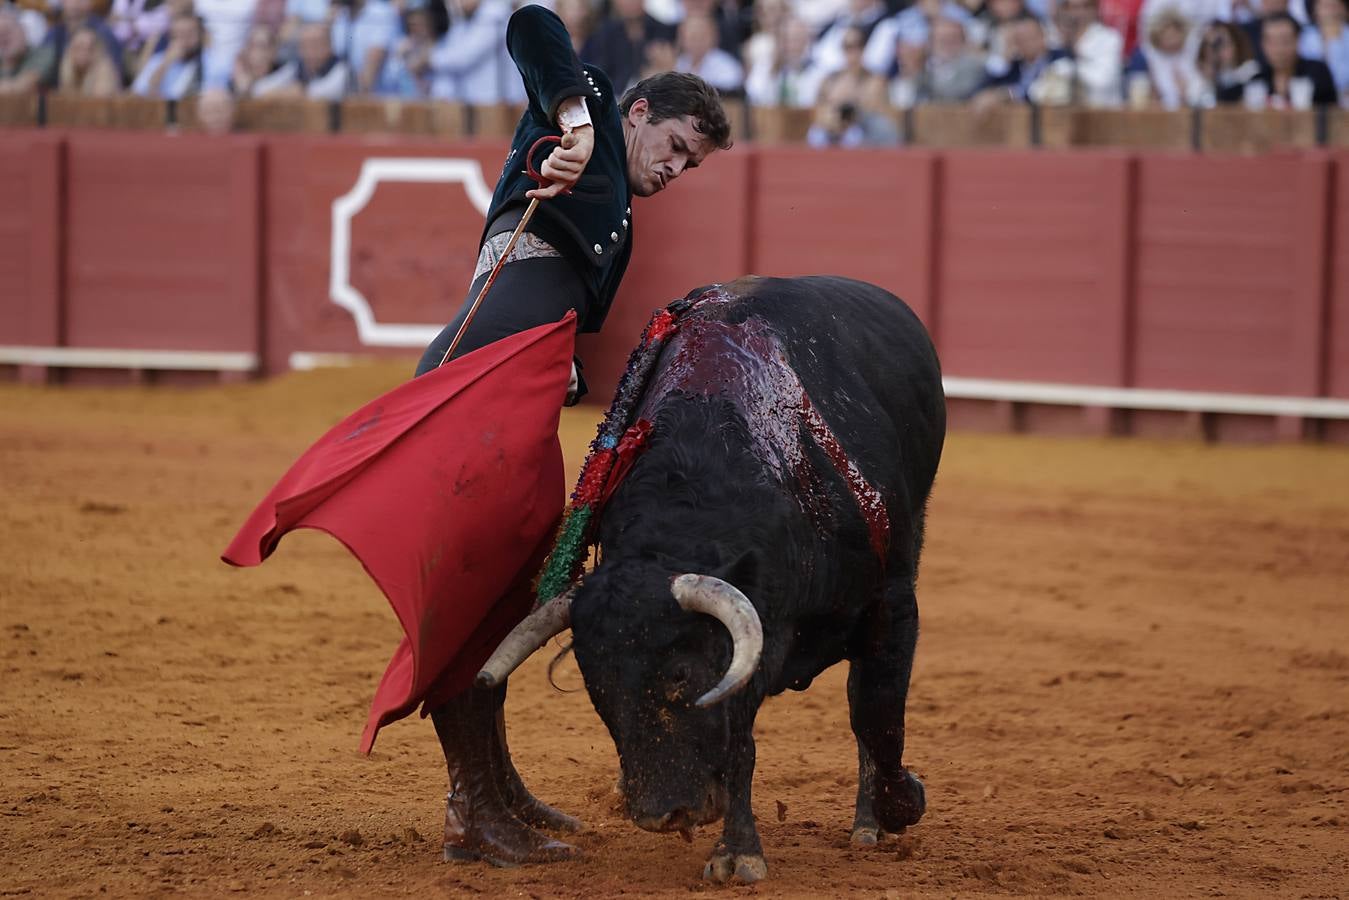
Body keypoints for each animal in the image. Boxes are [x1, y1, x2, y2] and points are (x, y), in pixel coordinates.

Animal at [480, 277, 944, 885]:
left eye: (680, 674)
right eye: (595, 686)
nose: (658, 814)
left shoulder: (892, 605)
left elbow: (877, 710)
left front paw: (900, 805)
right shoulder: (753, 641)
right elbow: (739, 741)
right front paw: (738, 851)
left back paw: (868, 822)